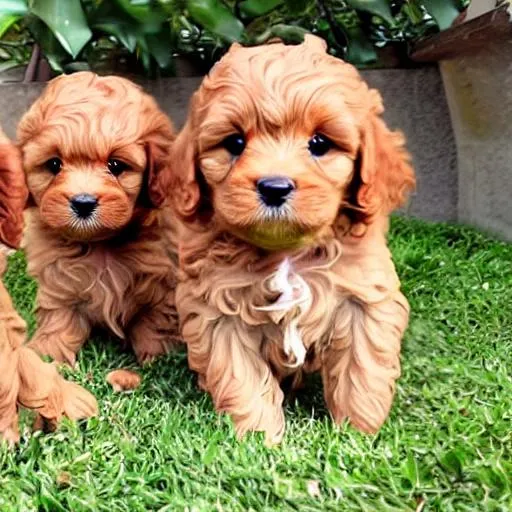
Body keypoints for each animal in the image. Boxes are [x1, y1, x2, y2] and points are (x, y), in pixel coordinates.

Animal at [17, 73, 180, 368]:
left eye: (116, 166)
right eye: (54, 165)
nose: (83, 203)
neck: (100, 244)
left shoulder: (162, 282)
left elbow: (155, 321)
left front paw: (159, 358)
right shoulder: (58, 280)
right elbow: (58, 318)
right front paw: (46, 353)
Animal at [172, 36, 416, 444]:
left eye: (319, 143)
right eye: (235, 142)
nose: (275, 187)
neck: (288, 253)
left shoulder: (364, 297)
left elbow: (362, 368)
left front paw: (359, 436)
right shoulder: (218, 310)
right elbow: (240, 376)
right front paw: (259, 439)